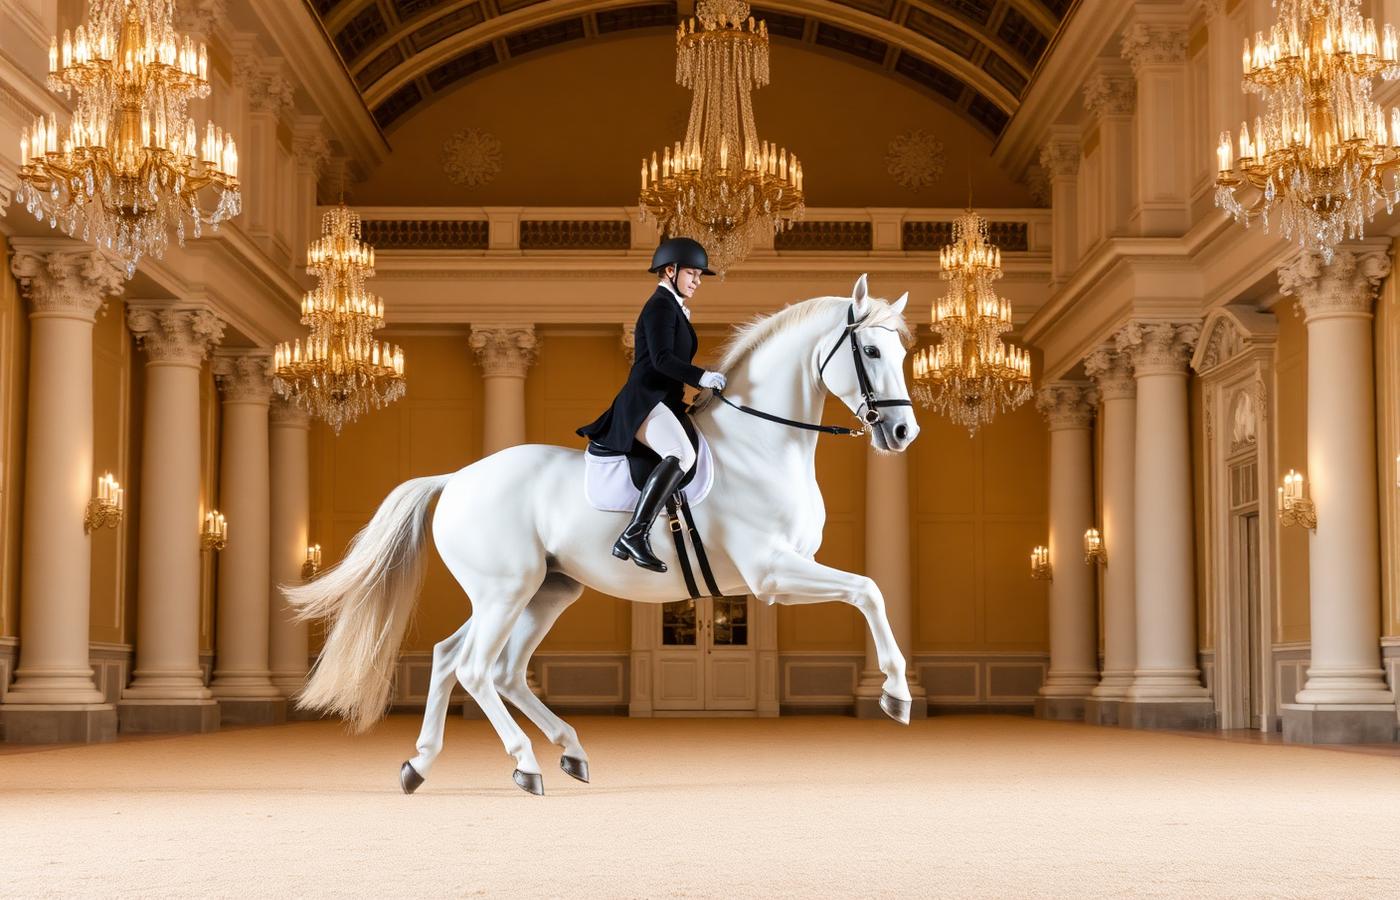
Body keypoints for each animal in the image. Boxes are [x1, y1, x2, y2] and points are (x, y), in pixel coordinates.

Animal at [284, 274, 921, 795]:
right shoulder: (771, 573)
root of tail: (458, 477)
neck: (760, 443)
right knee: (475, 668)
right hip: (506, 591)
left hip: (541, 591)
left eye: (900, 351)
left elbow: (869, 590)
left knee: (471, 663)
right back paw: (526, 764)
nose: (903, 433)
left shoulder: (783, 574)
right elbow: (869, 589)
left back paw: (447, 762)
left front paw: (895, 690)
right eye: (869, 350)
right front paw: (896, 694)